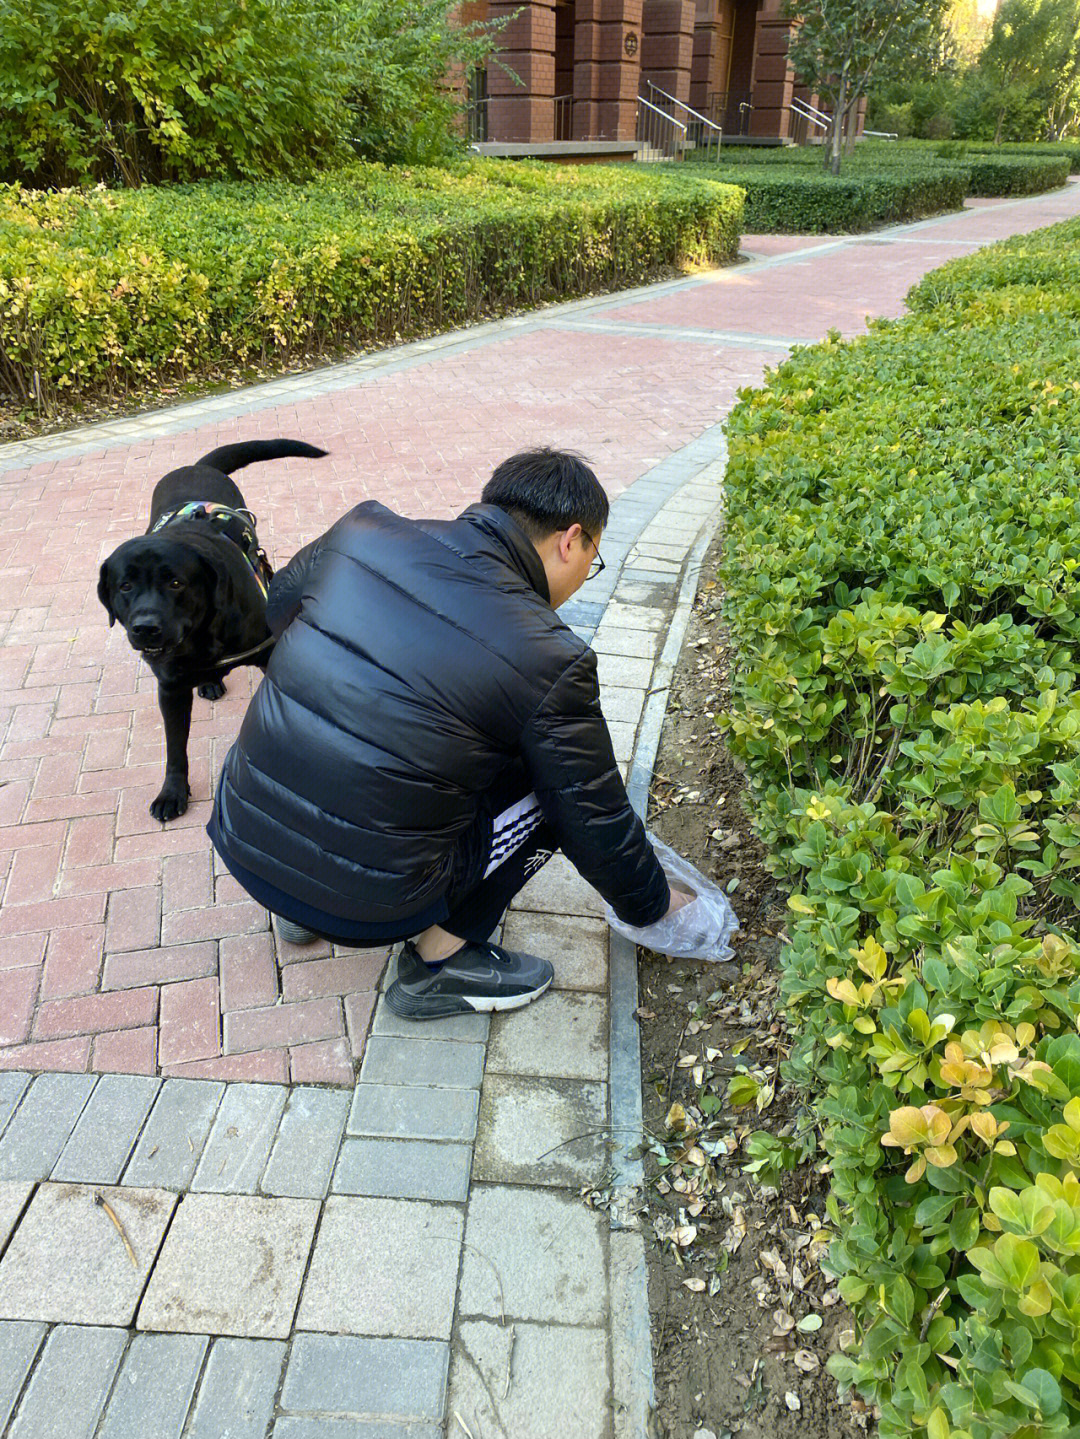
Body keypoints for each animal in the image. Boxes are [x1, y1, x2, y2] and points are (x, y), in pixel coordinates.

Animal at [99, 434, 327, 823]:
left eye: (175, 583)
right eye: (124, 586)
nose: (146, 627)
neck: (201, 638)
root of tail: (196, 466)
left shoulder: (266, 652)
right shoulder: (171, 688)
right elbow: (175, 747)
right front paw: (172, 792)